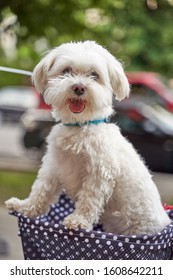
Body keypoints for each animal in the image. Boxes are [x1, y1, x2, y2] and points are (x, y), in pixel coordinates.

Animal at [5, 41, 170, 234]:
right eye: (67, 71)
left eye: (94, 75)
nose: (79, 87)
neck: (80, 126)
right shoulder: (53, 165)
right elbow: (41, 190)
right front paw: (25, 207)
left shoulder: (99, 173)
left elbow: (89, 200)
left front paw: (78, 221)